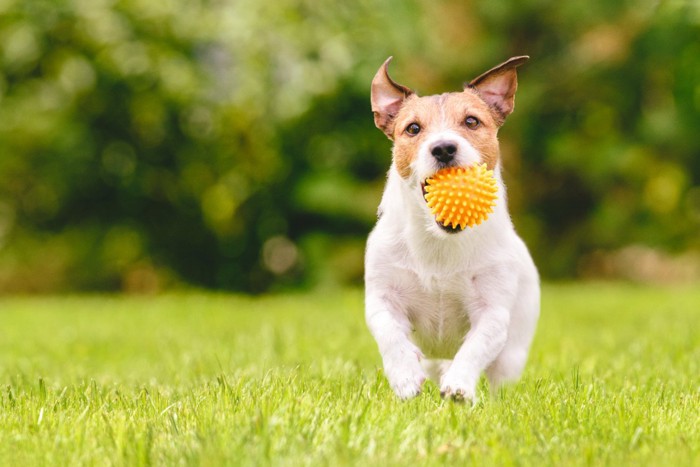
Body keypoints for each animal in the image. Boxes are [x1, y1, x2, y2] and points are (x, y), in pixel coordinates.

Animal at [366, 55, 540, 402]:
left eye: (472, 122)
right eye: (413, 128)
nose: (444, 148)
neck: (439, 243)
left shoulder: (492, 311)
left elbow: (476, 347)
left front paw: (459, 385)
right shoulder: (381, 297)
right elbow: (390, 333)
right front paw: (405, 376)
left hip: (513, 352)